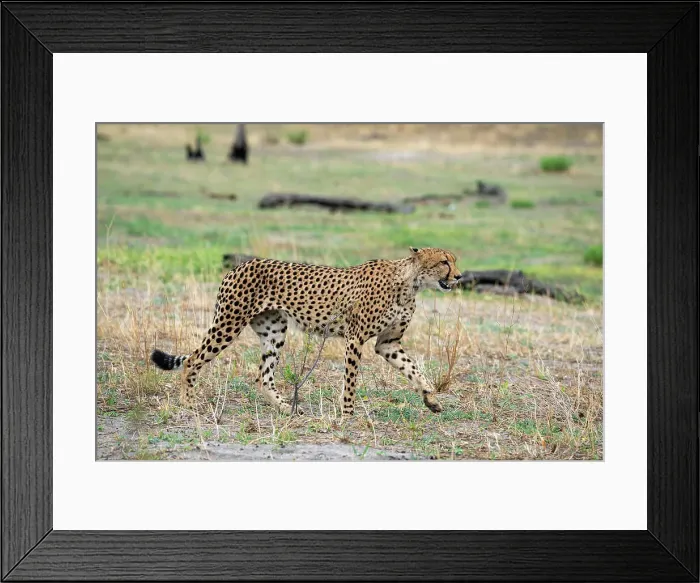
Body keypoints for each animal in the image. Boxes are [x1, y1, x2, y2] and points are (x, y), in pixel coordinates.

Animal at [150, 247, 463, 416]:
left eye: (454, 260)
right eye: (444, 261)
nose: (459, 276)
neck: (410, 282)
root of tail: (240, 264)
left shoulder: (388, 343)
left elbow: (414, 369)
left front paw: (431, 399)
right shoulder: (355, 338)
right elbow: (351, 381)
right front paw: (347, 413)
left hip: (274, 331)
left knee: (263, 377)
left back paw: (288, 408)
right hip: (229, 323)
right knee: (193, 360)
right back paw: (188, 403)